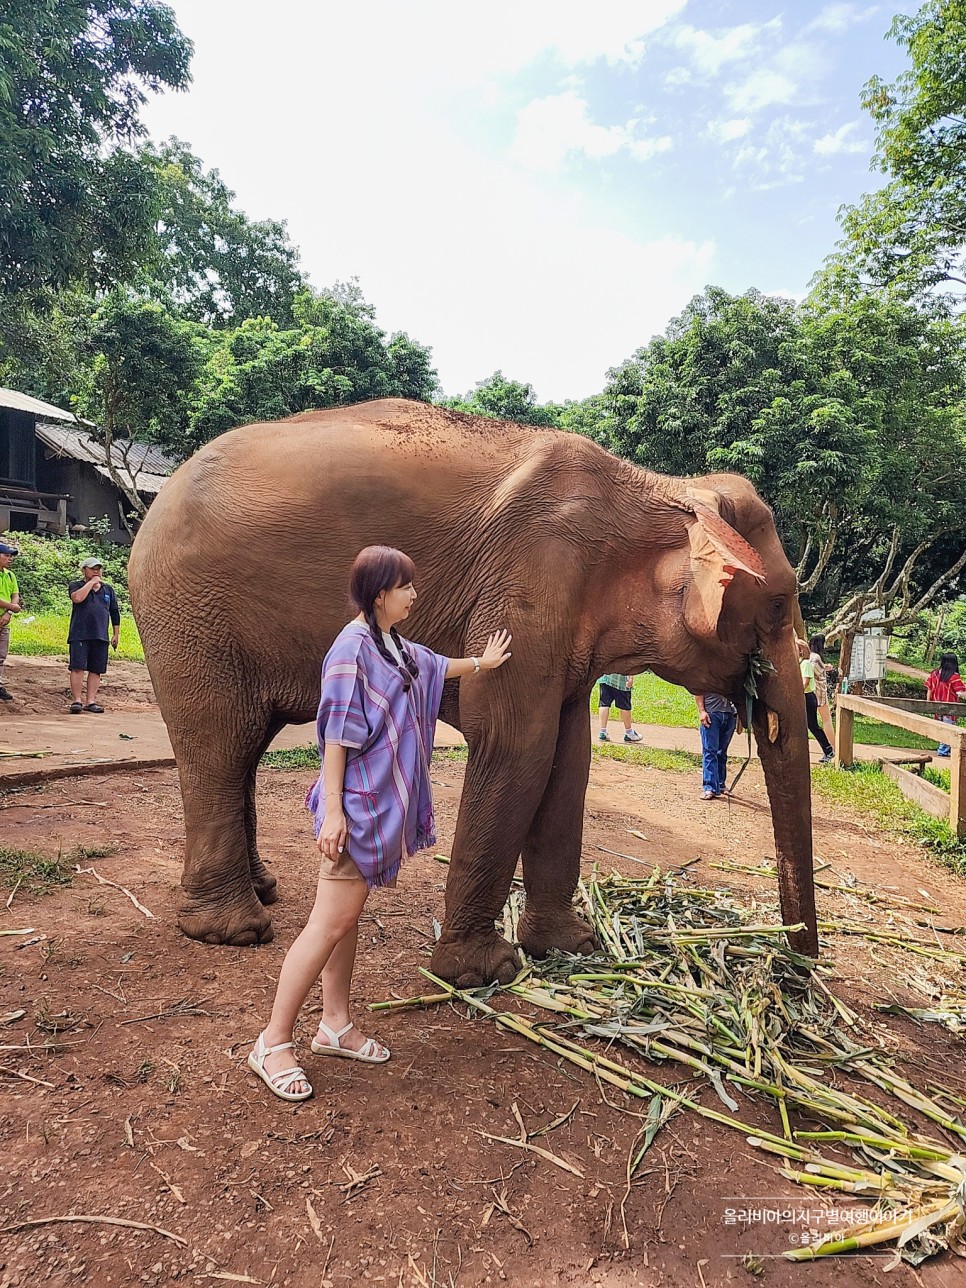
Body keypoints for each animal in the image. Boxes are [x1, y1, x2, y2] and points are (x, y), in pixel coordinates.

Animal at [128, 396, 819, 978]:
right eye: (779, 606)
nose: (800, 965)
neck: (660, 488)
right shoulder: (531, 578)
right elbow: (517, 748)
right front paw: (480, 973)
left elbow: (568, 761)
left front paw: (571, 948)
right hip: (190, 617)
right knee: (220, 744)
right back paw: (235, 931)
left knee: (244, 749)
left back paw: (262, 890)